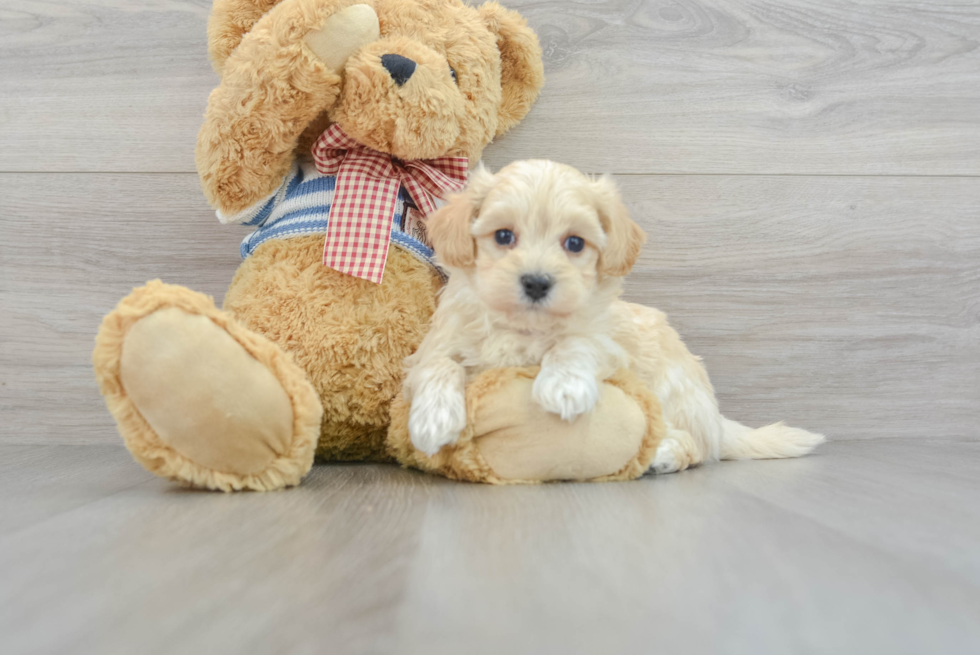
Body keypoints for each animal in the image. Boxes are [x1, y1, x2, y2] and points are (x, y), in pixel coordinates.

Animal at [402, 161, 824, 474]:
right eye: (503, 236)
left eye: (574, 243)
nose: (537, 282)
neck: (526, 326)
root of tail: (715, 418)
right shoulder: (437, 343)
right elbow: (438, 364)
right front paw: (433, 419)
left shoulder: (609, 344)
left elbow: (577, 342)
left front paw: (563, 387)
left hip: (671, 390)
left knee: (696, 447)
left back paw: (662, 455)